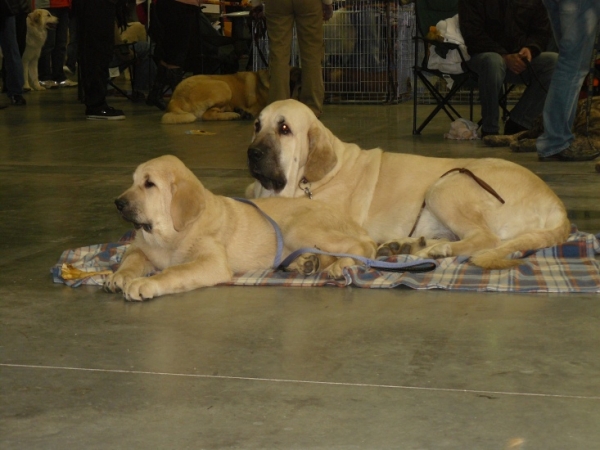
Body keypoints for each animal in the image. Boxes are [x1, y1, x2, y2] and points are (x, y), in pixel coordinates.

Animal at [103, 156, 376, 302]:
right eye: (134, 181)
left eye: (149, 184)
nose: (117, 203)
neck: (168, 235)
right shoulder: (139, 248)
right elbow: (131, 259)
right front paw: (119, 276)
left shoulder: (211, 262)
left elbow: (175, 271)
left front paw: (144, 284)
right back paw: (307, 263)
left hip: (297, 228)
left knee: (364, 247)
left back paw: (341, 265)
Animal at [246, 99, 568, 268]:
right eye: (257, 125)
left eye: (284, 128)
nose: (252, 153)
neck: (309, 181)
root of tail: (558, 207)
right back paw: (406, 245)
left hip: (445, 185)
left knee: (485, 239)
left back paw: (434, 251)